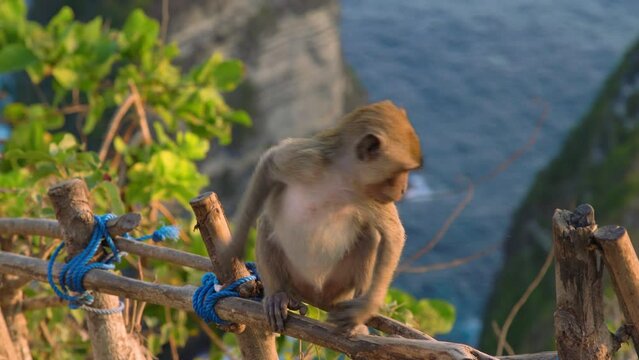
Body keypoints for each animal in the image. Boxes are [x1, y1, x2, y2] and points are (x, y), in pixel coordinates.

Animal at [225, 99, 424, 334]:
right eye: (402, 171)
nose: (403, 189)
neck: (341, 177)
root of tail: (317, 297)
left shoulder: (371, 196)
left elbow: (393, 234)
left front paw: (364, 309)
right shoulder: (307, 159)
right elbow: (269, 163)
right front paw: (235, 245)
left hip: (338, 285)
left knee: (369, 236)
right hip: (296, 278)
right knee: (266, 224)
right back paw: (279, 296)